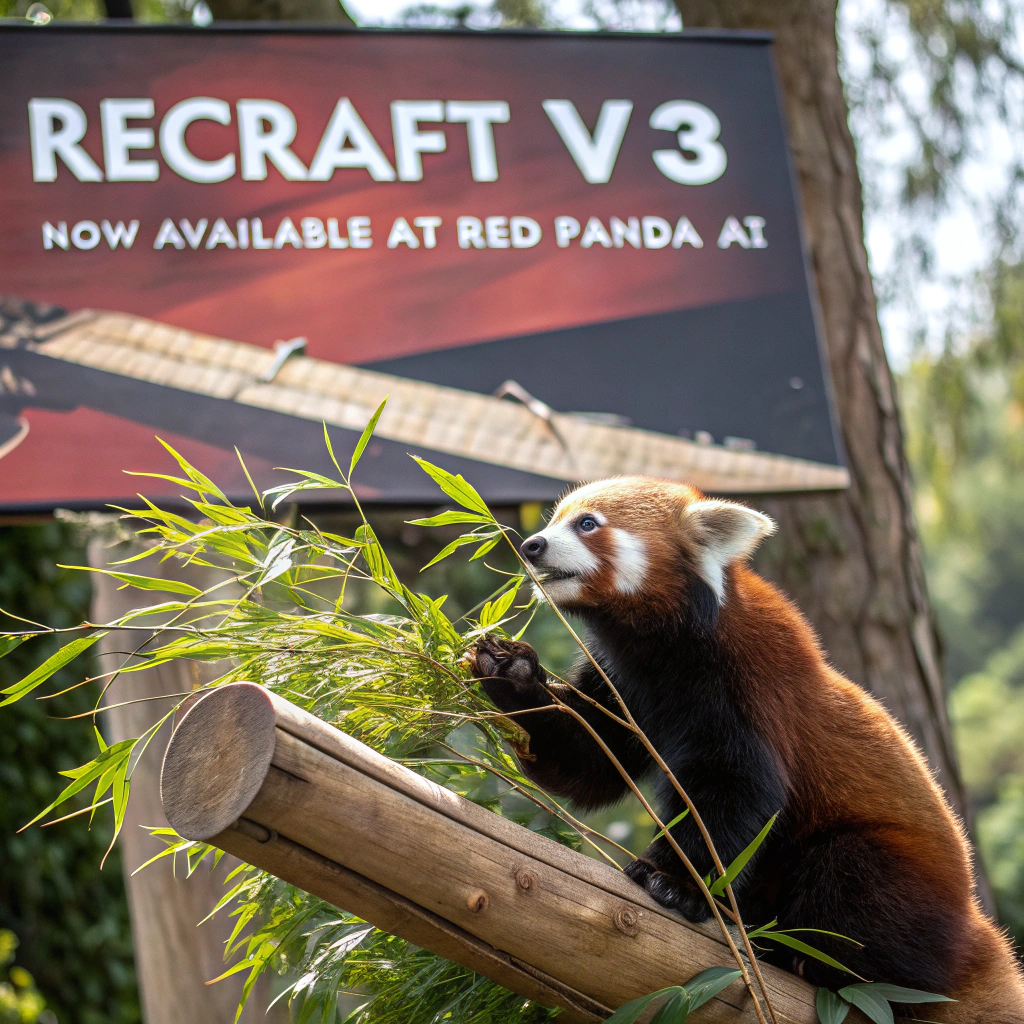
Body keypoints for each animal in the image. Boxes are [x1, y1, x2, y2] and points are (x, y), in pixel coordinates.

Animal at [470, 476, 1024, 1022]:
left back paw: (815, 962)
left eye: (587, 524)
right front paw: (511, 671)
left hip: (904, 881)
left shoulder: (747, 690)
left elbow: (734, 793)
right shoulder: (619, 684)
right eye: (554, 519)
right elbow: (589, 759)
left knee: (854, 879)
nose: (531, 545)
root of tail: (976, 932)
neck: (658, 648)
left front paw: (673, 880)